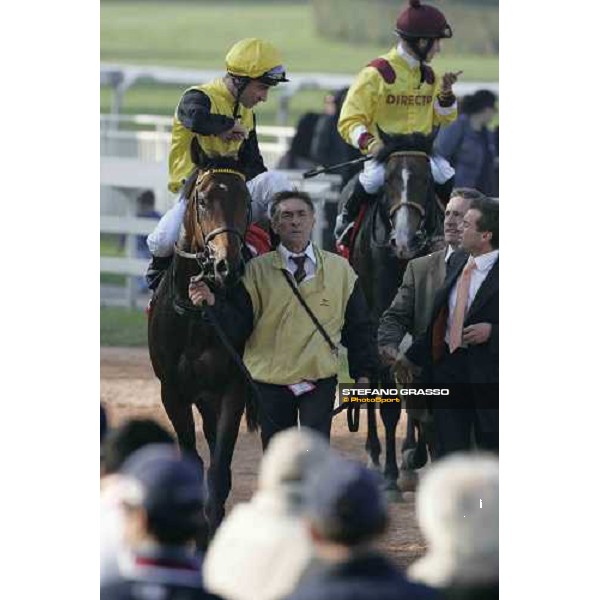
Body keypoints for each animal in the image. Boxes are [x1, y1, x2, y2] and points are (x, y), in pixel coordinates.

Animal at [149, 162, 256, 536]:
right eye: (203, 201)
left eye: (246, 200)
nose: (227, 265)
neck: (197, 317)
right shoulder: (173, 393)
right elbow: (192, 464)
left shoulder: (233, 389)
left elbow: (219, 472)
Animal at [346, 134, 446, 494]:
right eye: (388, 181)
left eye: (427, 181)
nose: (403, 241)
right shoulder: (377, 320)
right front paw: (389, 472)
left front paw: (413, 455)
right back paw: (376, 455)